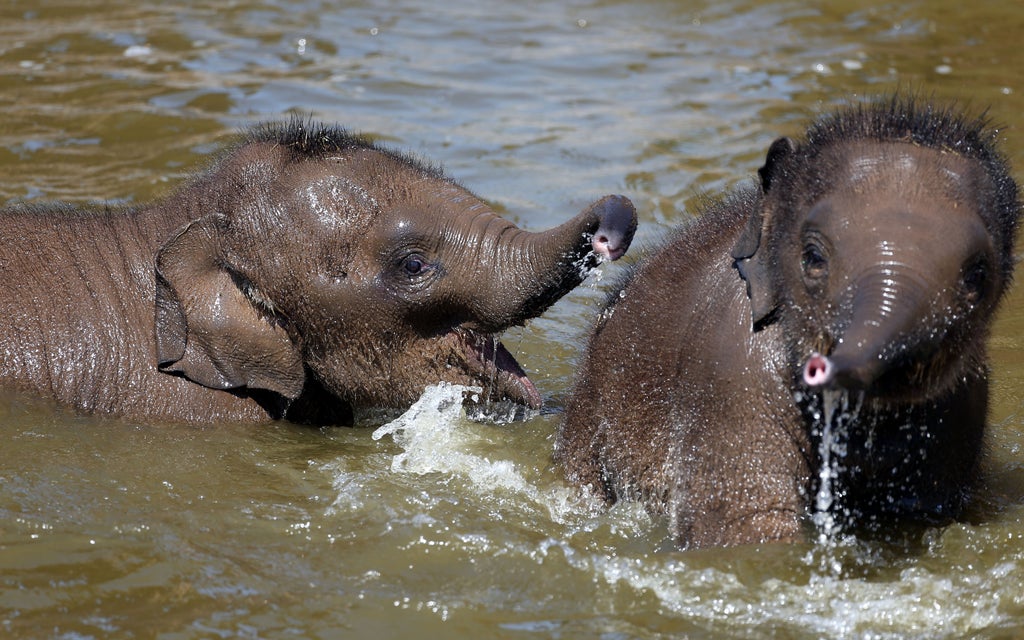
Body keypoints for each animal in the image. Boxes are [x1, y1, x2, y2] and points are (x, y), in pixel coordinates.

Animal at [555, 95, 1021, 549]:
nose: (823, 367)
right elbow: (743, 526)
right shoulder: (730, 371)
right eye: (813, 258)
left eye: (977, 276)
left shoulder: (963, 407)